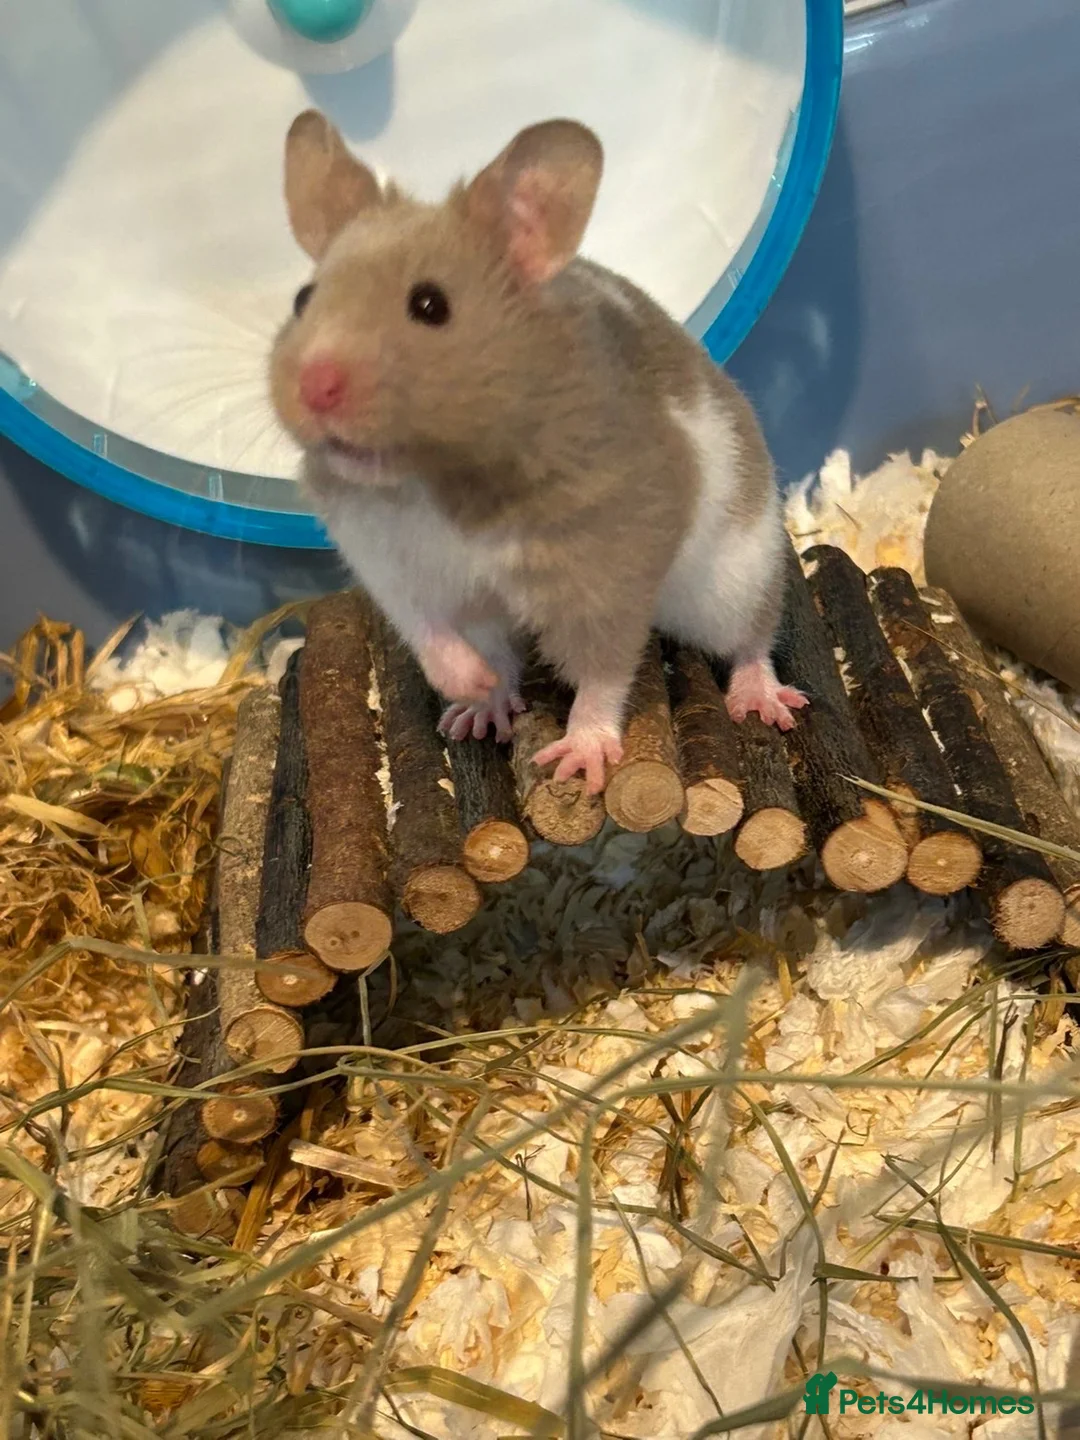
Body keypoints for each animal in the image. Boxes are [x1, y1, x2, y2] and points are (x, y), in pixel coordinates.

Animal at [269, 110, 806, 794]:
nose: (314, 387)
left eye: (429, 304)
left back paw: (762, 702)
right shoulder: (394, 567)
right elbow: (434, 636)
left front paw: (579, 759)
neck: (433, 483)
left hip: (737, 573)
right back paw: (480, 715)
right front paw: (475, 688)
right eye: (301, 301)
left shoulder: (605, 568)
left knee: (754, 635)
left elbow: (603, 670)